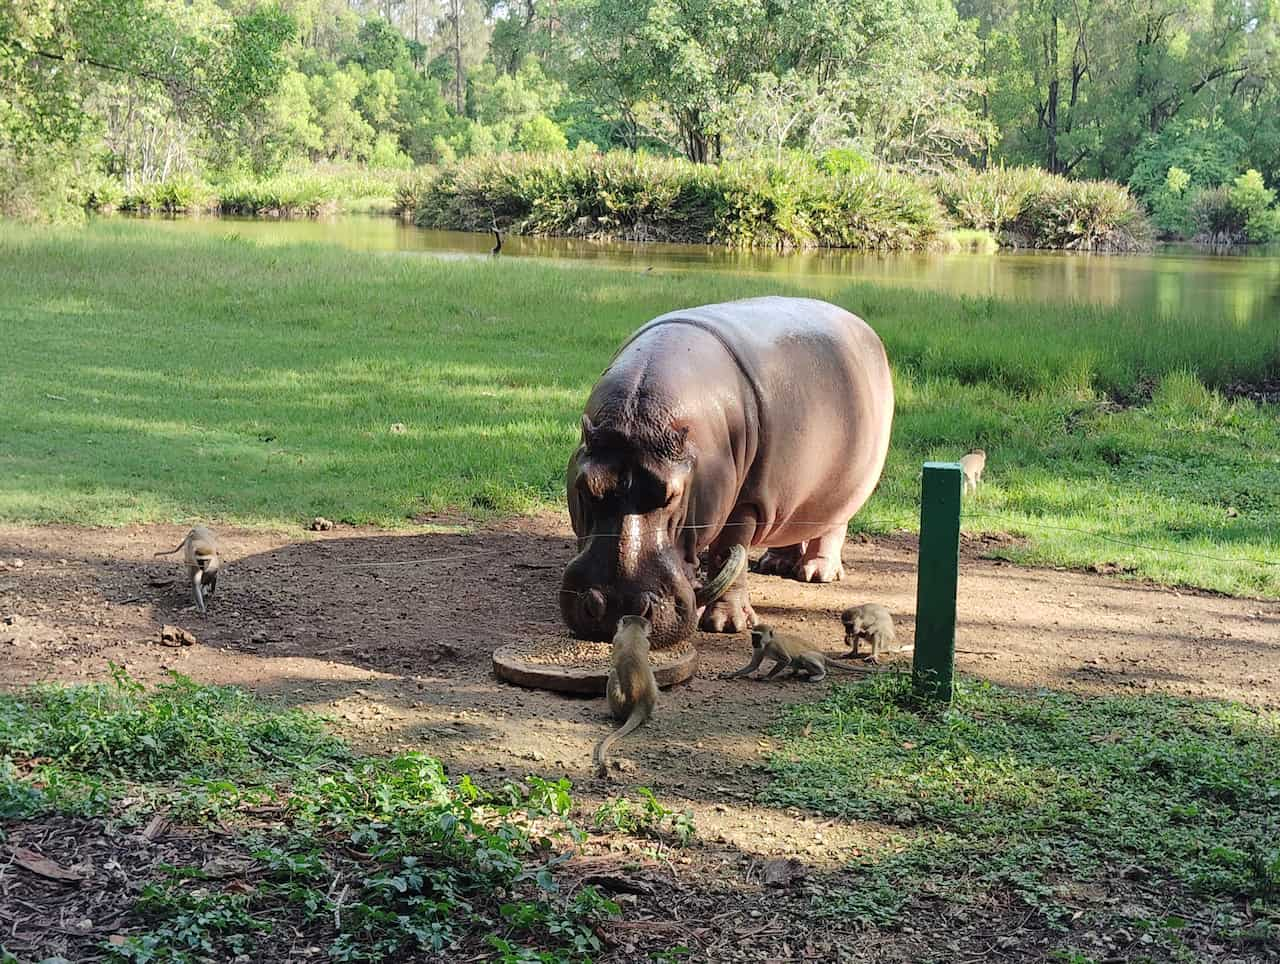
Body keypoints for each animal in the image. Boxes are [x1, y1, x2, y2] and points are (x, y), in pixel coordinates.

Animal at [721, 624, 870, 686]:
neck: (767, 643)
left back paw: (820, 674)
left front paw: (766, 677)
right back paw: (794, 672)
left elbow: (785, 659)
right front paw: (729, 675)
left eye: (757, 636)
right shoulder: (759, 649)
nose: (753, 642)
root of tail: (822, 654)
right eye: (753, 636)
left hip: (815, 658)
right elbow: (753, 665)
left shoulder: (775, 646)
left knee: (805, 657)